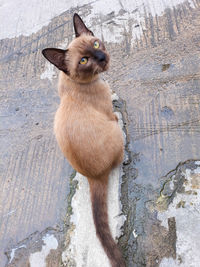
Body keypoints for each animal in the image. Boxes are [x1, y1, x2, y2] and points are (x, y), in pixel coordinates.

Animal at [41, 13, 125, 267]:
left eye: (96, 44)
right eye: (84, 61)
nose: (102, 57)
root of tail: (93, 177)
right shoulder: (108, 113)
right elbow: (113, 110)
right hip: (115, 133)